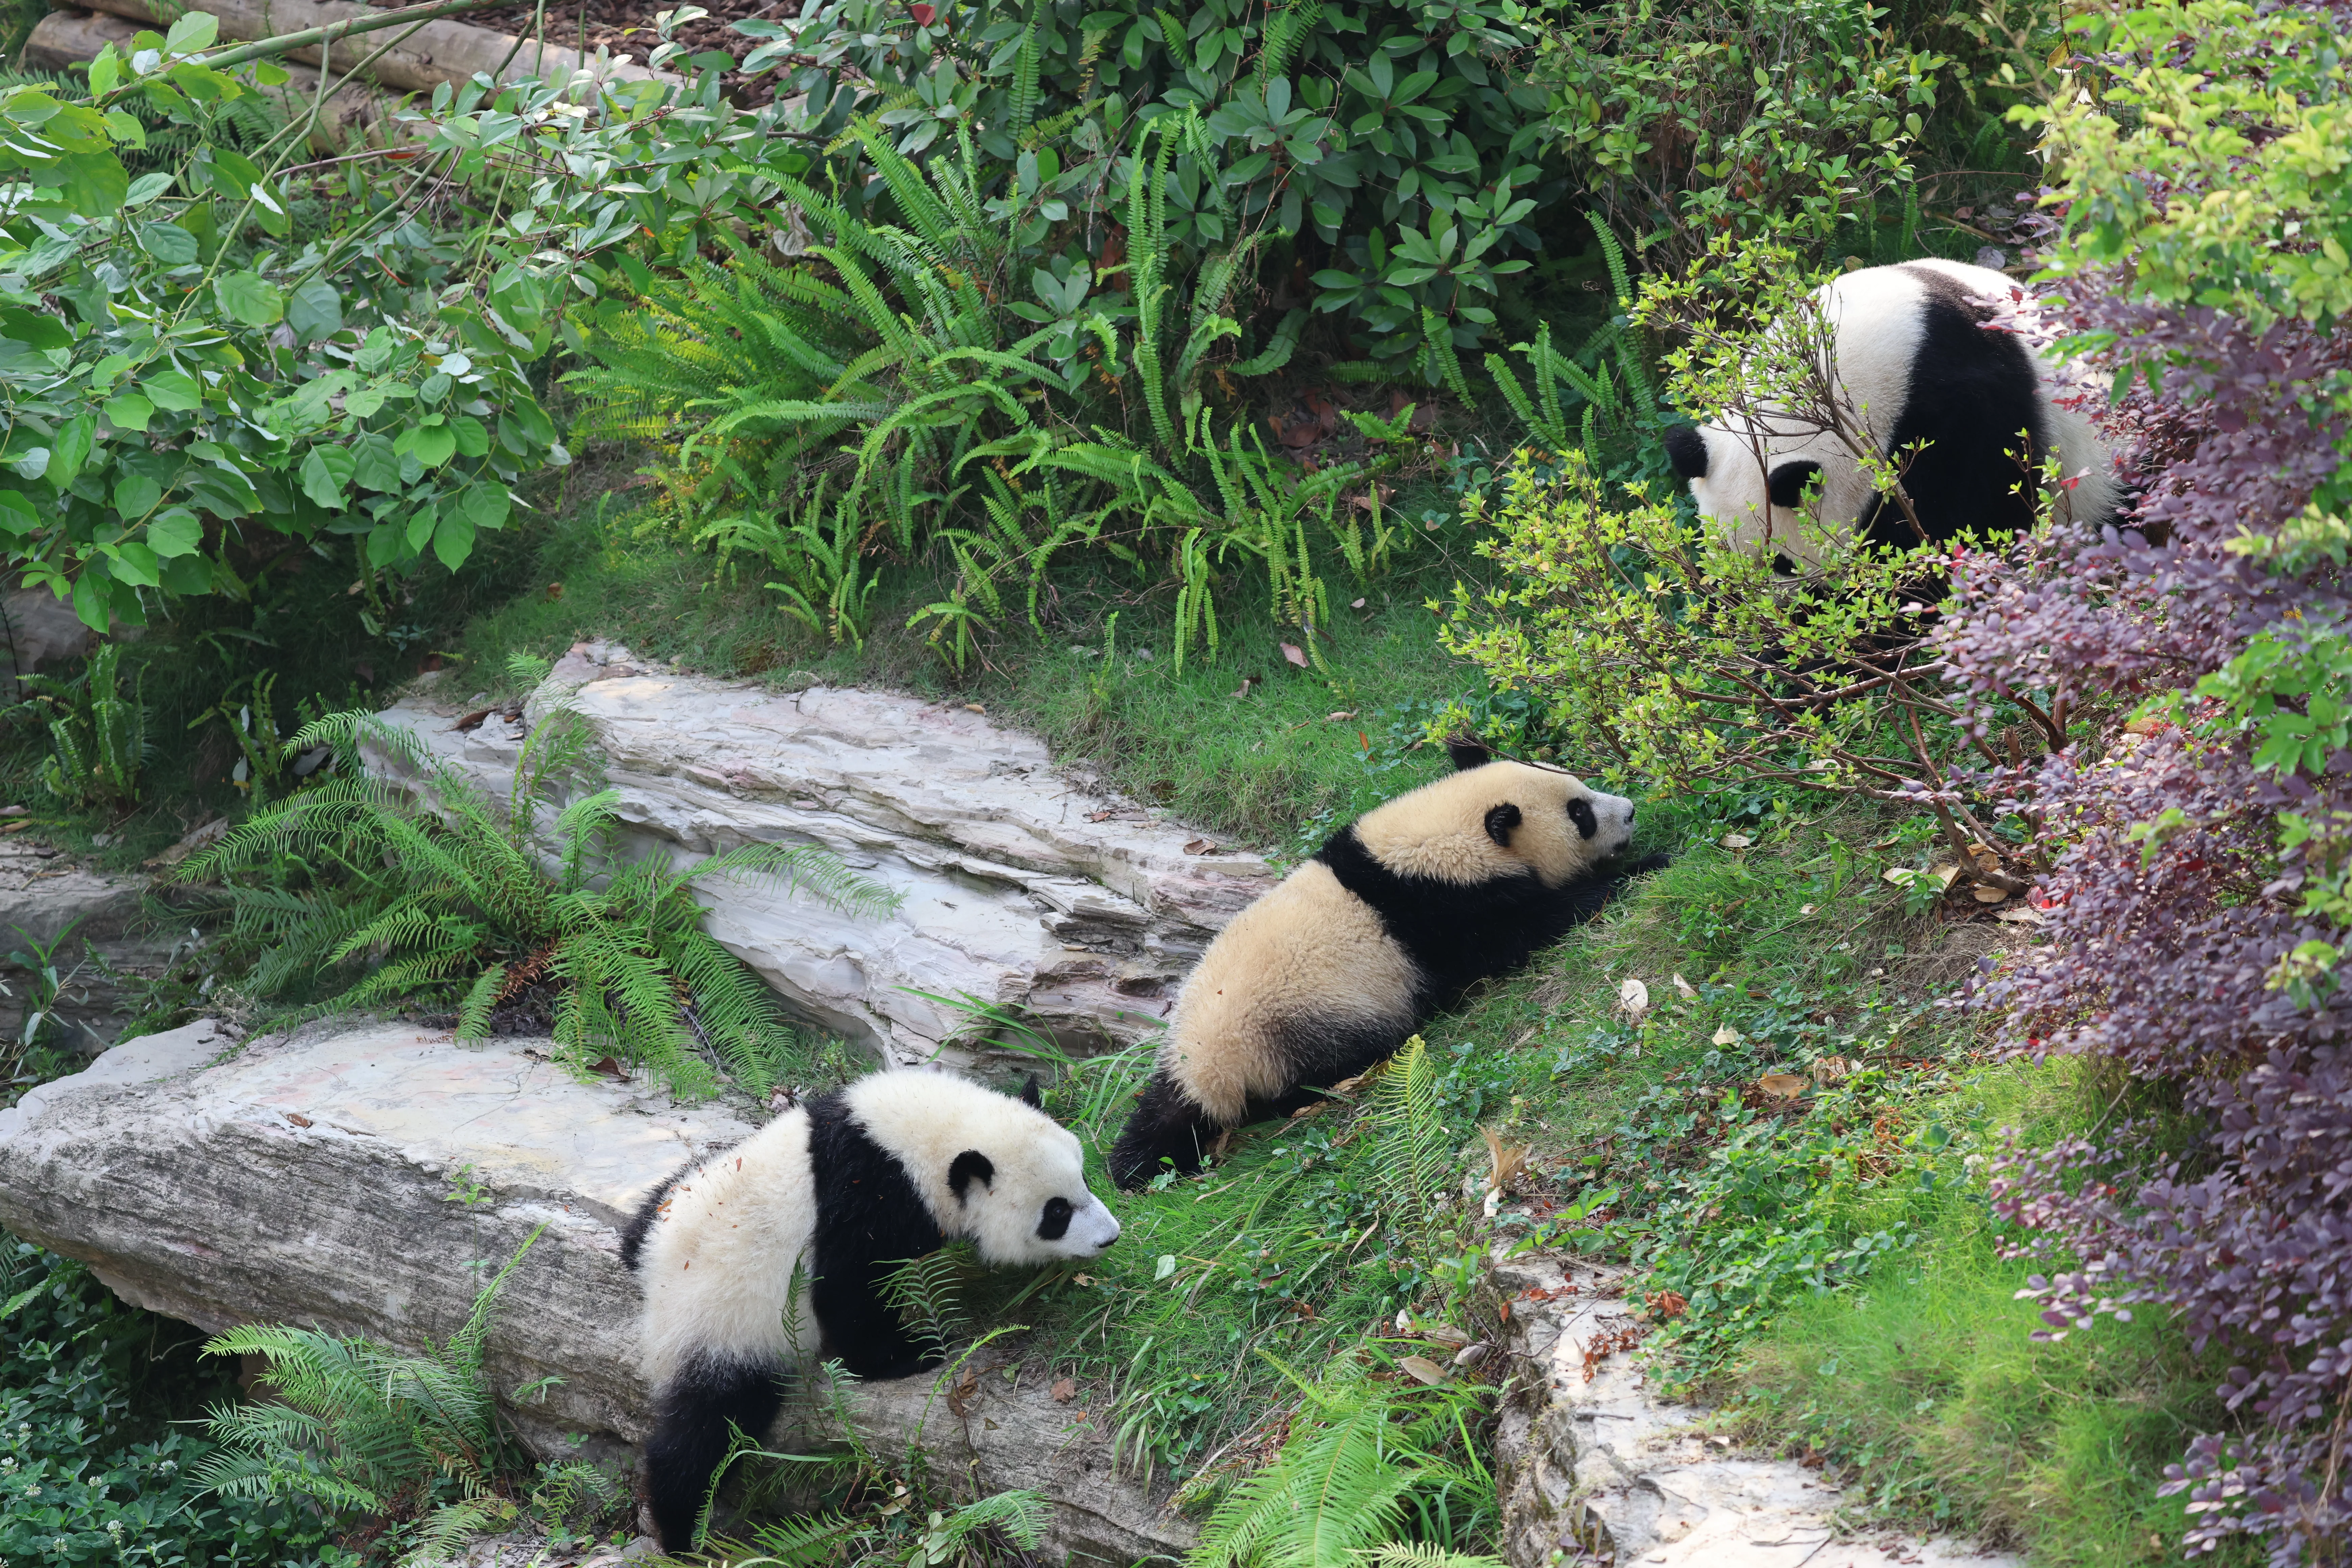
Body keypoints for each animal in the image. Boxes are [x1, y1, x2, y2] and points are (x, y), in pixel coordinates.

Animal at [620, 1070, 1122, 1551]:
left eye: (1084, 1179)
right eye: (1056, 1212)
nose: (1111, 1237)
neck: (909, 1142)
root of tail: (656, 1292)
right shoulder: (867, 1202)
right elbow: (849, 1293)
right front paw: (911, 1353)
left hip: (683, 1194)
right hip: (727, 1326)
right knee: (707, 1433)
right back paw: (680, 1532)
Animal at [1107, 739, 1668, 1190]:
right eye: (1580, 814)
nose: (1630, 810)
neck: (1434, 842)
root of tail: (1208, 1074)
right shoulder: (1449, 911)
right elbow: (1527, 927)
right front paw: (1648, 866)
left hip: (1186, 1044)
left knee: (1159, 1110)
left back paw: (1134, 1163)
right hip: (1303, 1028)